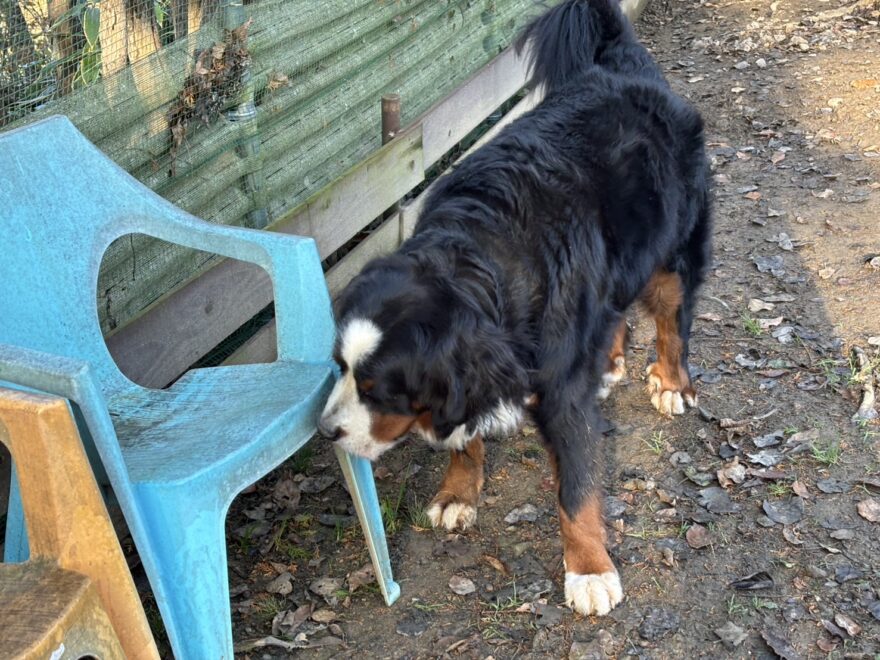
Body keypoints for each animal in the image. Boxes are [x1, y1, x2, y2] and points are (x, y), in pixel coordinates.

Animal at [318, 0, 711, 616]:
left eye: (379, 390)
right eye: (340, 368)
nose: (325, 430)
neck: (477, 260)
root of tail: (624, 70)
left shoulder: (559, 390)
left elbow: (576, 489)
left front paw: (589, 569)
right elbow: (462, 435)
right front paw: (458, 491)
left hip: (673, 252)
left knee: (673, 320)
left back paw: (671, 382)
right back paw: (611, 364)